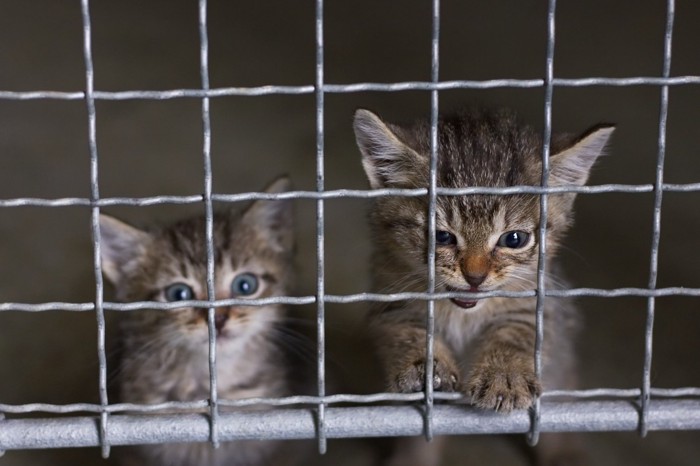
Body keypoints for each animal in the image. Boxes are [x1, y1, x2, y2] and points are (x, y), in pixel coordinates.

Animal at [356, 106, 612, 466]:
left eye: (514, 239)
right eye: (442, 236)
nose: (474, 277)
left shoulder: (542, 303)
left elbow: (516, 330)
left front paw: (504, 375)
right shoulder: (390, 297)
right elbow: (407, 329)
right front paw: (425, 366)